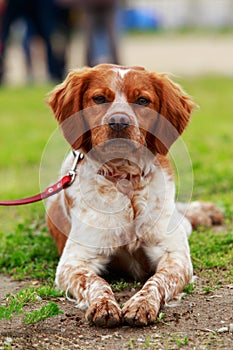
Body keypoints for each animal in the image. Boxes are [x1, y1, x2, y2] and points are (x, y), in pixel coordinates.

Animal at [46, 63, 224, 328]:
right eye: (99, 98)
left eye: (142, 100)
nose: (119, 122)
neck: (126, 182)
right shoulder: (74, 262)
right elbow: (96, 282)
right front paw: (104, 305)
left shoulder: (175, 256)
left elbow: (157, 282)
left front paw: (142, 304)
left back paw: (206, 212)